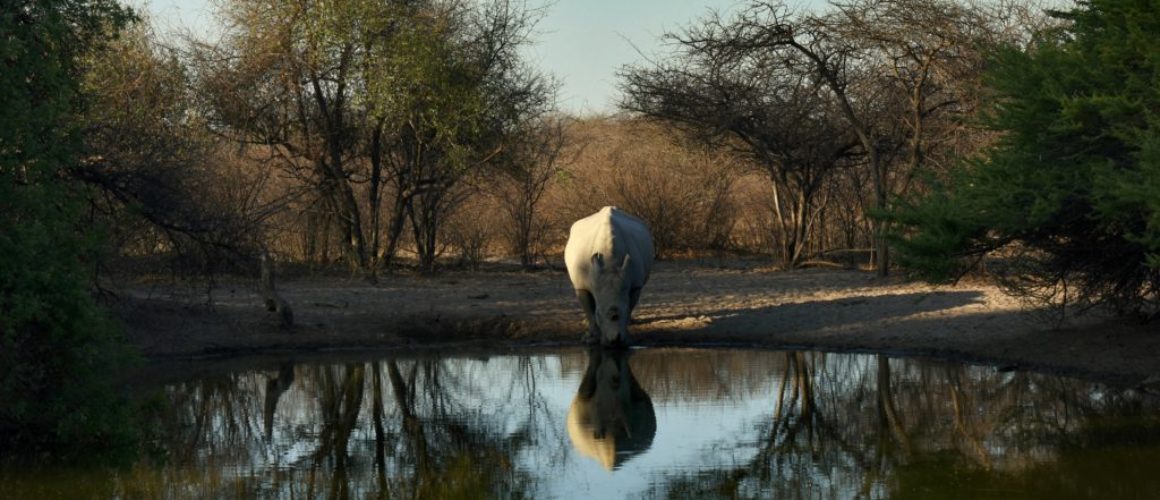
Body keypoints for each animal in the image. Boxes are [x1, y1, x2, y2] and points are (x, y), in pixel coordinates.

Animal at [563, 205, 654, 345]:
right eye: (598, 314)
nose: (615, 341)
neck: (611, 263)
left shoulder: (636, 284)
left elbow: (630, 305)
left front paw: (628, 335)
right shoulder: (581, 285)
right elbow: (589, 310)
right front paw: (591, 338)